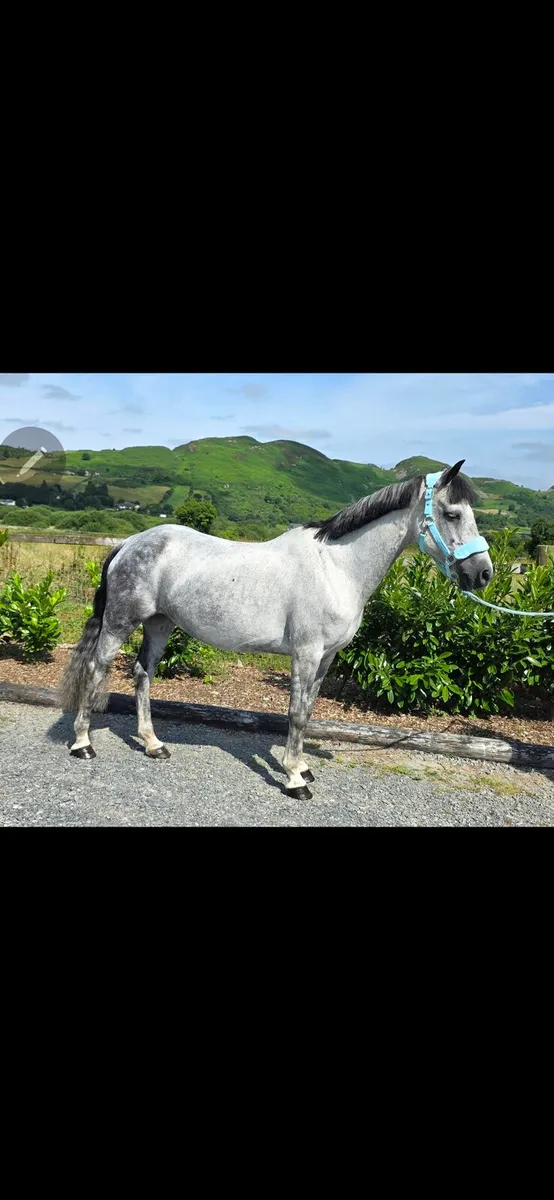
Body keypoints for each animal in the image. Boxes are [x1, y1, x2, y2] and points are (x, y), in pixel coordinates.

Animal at [58, 459, 493, 798]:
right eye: (452, 513)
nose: (482, 573)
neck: (336, 568)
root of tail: (129, 542)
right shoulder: (306, 653)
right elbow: (296, 714)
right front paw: (294, 780)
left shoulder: (326, 658)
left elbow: (310, 709)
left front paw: (301, 768)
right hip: (120, 622)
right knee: (96, 670)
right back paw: (82, 744)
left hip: (159, 625)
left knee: (142, 674)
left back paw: (153, 745)